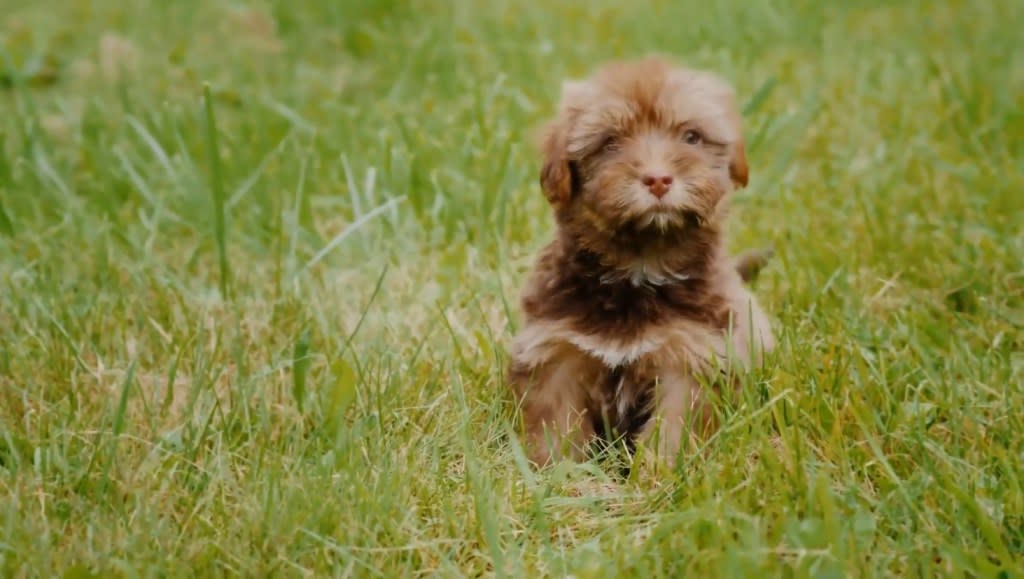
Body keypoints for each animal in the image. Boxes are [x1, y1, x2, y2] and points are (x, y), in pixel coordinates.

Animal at [503, 56, 774, 467]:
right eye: (610, 143)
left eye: (691, 137)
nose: (658, 178)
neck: (639, 268)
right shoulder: (555, 347)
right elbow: (557, 424)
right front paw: (559, 474)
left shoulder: (691, 355)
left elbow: (674, 428)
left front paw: (661, 474)